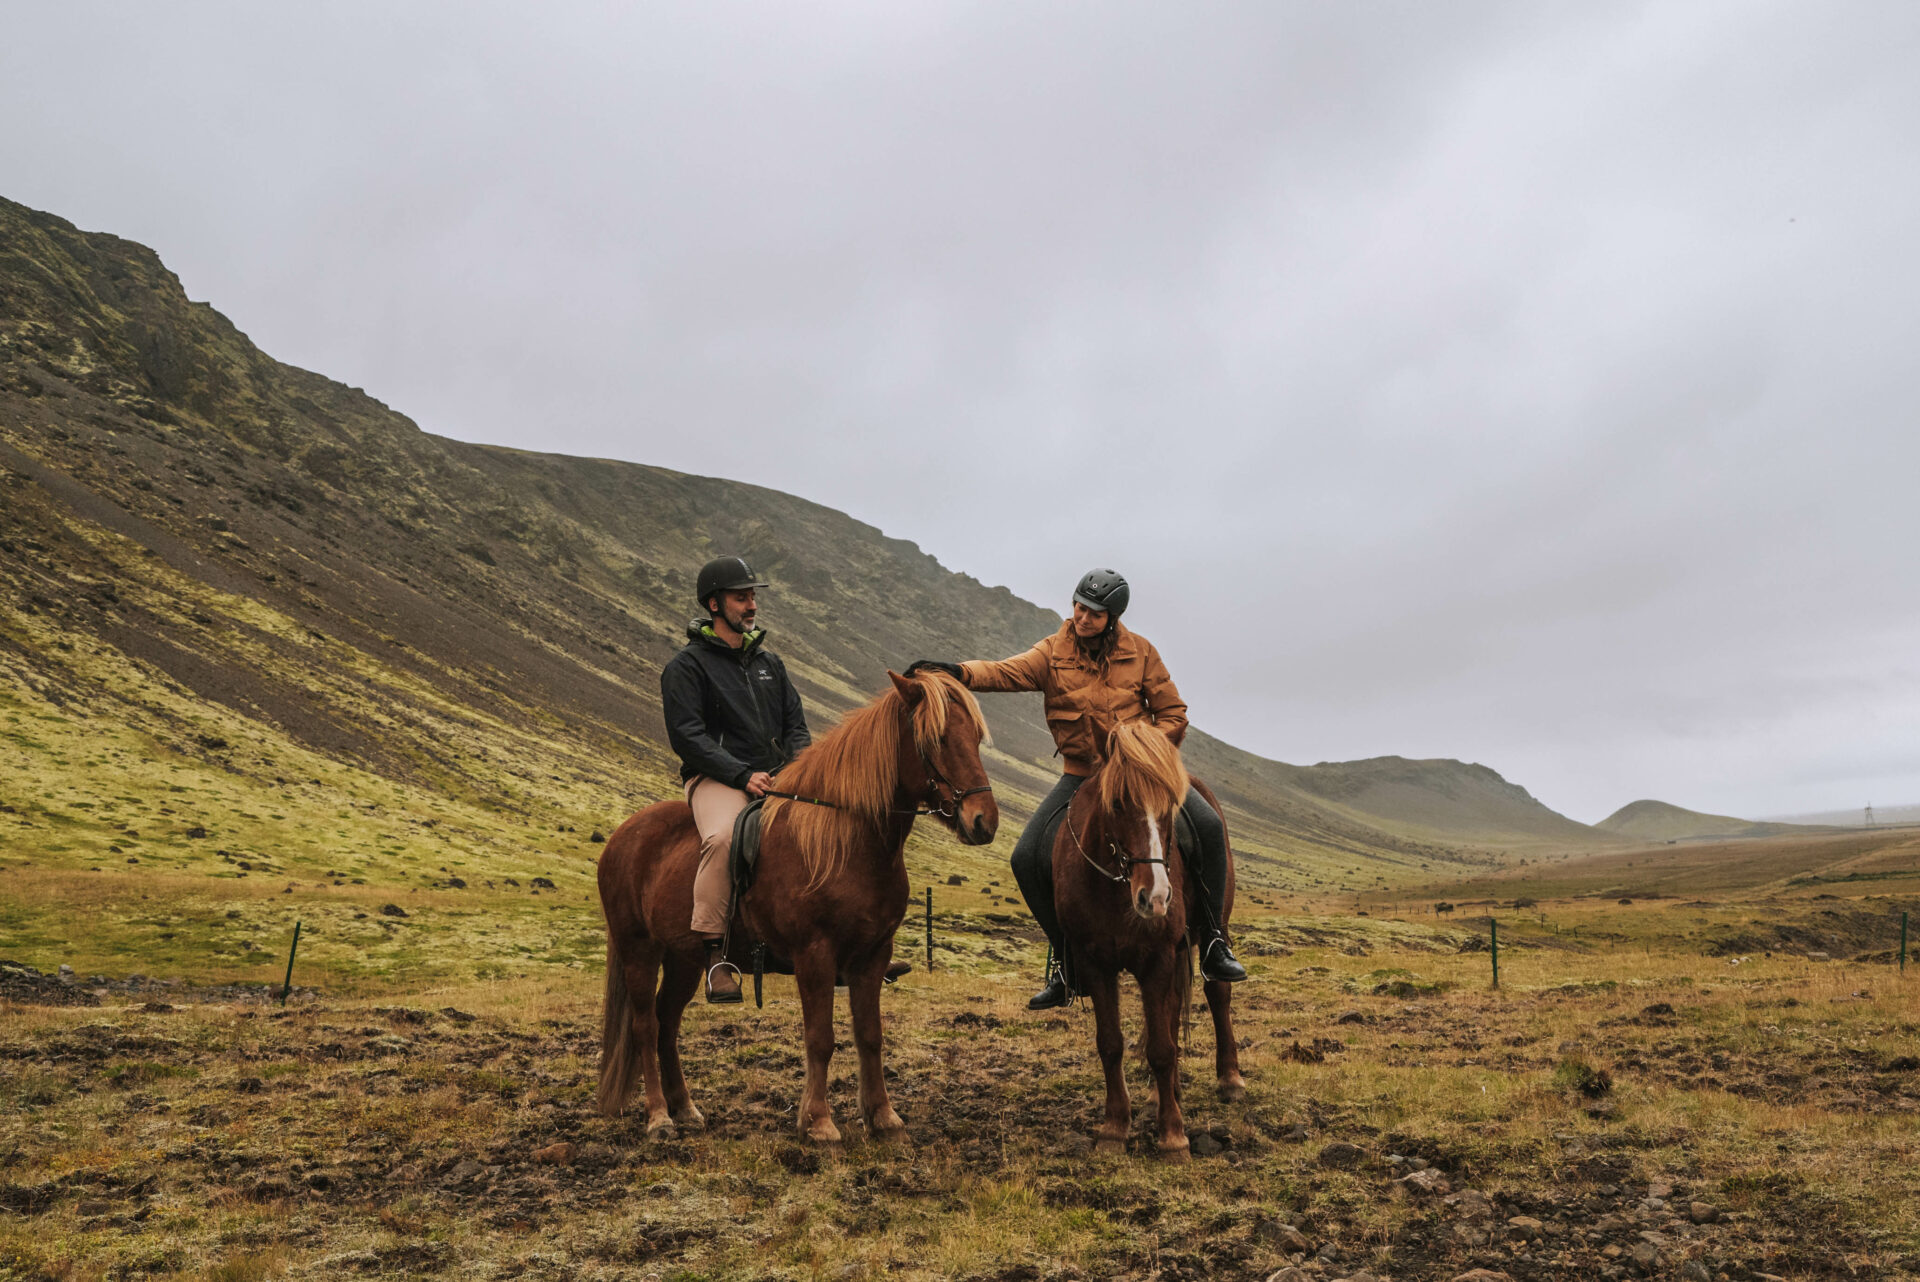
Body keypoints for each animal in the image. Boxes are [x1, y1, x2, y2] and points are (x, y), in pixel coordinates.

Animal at [595, 671, 990, 1143]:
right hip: (639, 950)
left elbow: (870, 1035)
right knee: (645, 1025)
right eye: (937, 739)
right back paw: (659, 1117)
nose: (984, 821)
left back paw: (686, 1109)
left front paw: (883, 1117)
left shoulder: (873, 956)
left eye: (977, 738)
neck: (845, 843)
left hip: (684, 959)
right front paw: (818, 1121)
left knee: (666, 1023)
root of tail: (622, 836)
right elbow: (820, 1037)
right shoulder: (814, 955)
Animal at [1052, 721, 1244, 1159]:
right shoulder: (1094, 962)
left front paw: (1173, 1137)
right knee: (1170, 1015)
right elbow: (1111, 1044)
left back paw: (1229, 1079)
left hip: (1213, 930)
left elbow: (1160, 1047)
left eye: (1171, 806)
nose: (1155, 898)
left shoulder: (1157, 957)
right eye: (1117, 803)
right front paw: (1113, 1128)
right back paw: (1162, 1094)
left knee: (1217, 993)